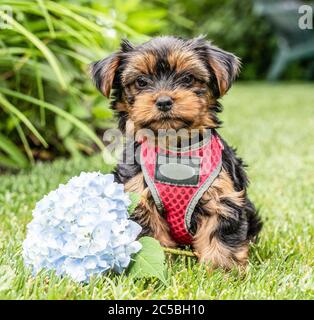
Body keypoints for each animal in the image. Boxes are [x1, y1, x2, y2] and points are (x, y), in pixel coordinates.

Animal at [91, 36, 262, 268]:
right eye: (141, 82)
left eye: (188, 79)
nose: (164, 101)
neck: (176, 148)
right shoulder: (139, 195)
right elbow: (152, 236)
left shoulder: (222, 196)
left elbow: (221, 235)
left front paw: (222, 269)